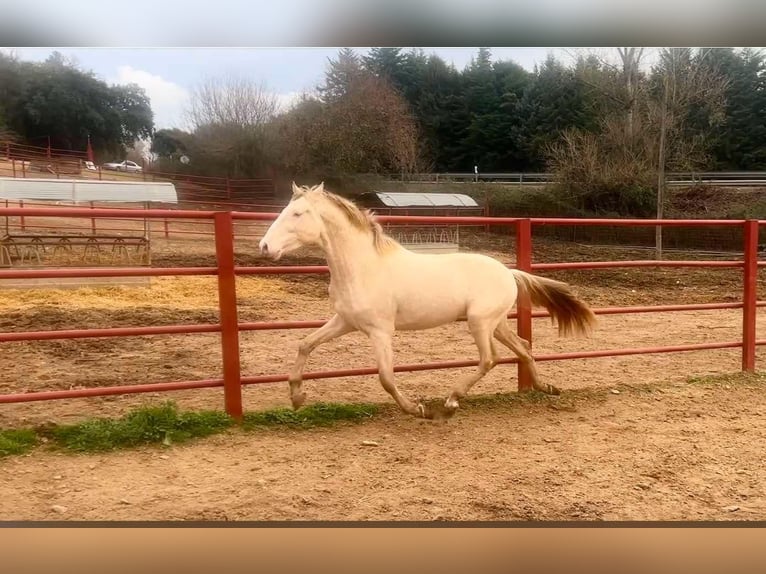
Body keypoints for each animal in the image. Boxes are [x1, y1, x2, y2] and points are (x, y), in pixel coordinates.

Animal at [260, 186, 600, 424]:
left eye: (298, 213)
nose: (265, 247)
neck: (364, 267)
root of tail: (510, 272)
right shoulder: (345, 321)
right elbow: (305, 344)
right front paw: (297, 397)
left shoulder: (380, 331)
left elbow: (386, 377)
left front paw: (418, 409)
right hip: (497, 323)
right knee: (523, 347)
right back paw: (547, 388)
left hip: (480, 323)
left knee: (490, 358)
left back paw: (450, 402)